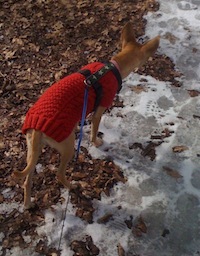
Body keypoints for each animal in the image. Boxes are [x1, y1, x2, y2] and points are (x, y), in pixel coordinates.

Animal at [13, 22, 160, 210]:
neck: (114, 66)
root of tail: (38, 127)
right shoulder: (99, 110)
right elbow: (95, 130)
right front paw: (96, 142)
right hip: (67, 147)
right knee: (59, 174)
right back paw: (72, 186)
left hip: (32, 149)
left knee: (27, 180)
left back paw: (28, 204)